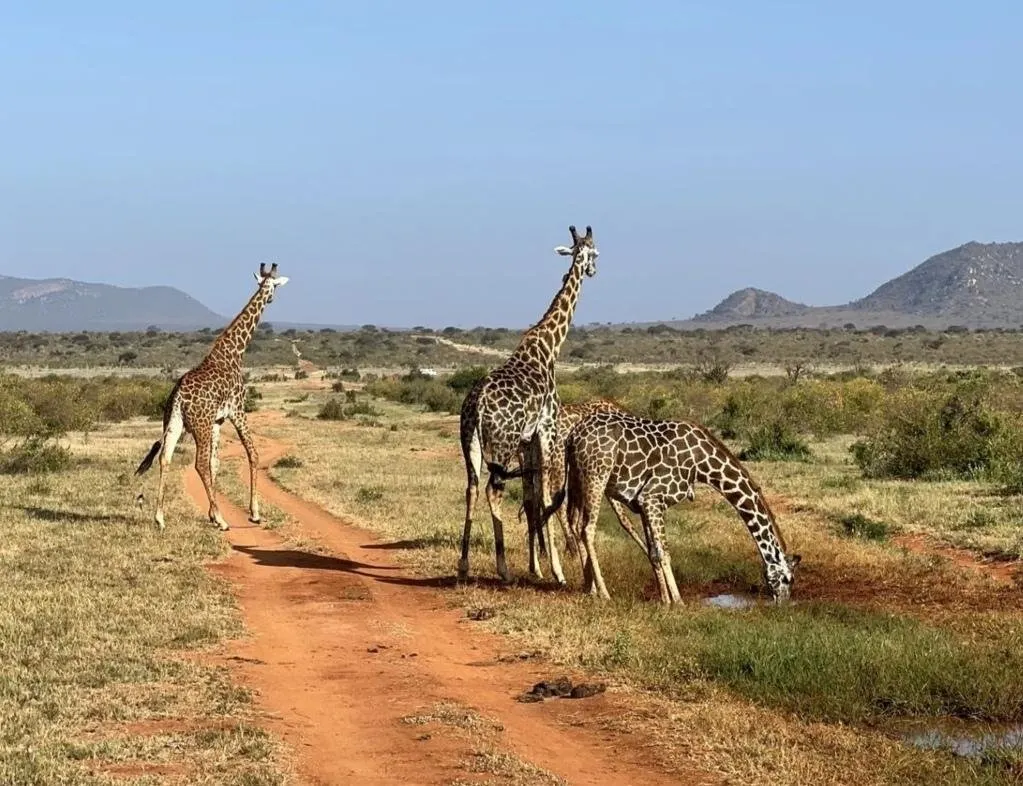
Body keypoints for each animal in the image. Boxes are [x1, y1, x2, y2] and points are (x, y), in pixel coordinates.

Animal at [132, 260, 288, 532]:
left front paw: (212, 514)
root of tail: (178, 396)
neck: (234, 352)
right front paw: (253, 513)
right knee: (198, 464)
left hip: (174, 422)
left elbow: (216, 464)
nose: (270, 299)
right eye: (273, 286)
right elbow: (252, 453)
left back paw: (160, 518)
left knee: (165, 457)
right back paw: (224, 521)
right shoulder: (237, 410)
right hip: (200, 426)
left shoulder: (218, 420)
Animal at [458, 224, 597, 585]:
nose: (593, 270)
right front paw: (557, 572)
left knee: (472, 488)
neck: (548, 347)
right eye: (596, 252)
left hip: (470, 443)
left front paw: (540, 566)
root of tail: (477, 406)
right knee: (493, 490)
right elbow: (546, 493)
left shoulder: (527, 439)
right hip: (501, 444)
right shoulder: (546, 429)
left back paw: (463, 565)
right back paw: (503, 568)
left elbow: (534, 494)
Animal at [552, 409, 797, 605]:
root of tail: (573, 437)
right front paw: (678, 601)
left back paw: (589, 587)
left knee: (575, 524)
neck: (702, 464)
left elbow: (654, 552)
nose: (783, 603)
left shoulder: (644, 503)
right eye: (787, 579)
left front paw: (664, 599)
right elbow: (665, 552)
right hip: (596, 477)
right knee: (587, 529)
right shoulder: (653, 496)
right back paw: (603, 592)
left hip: (576, 479)